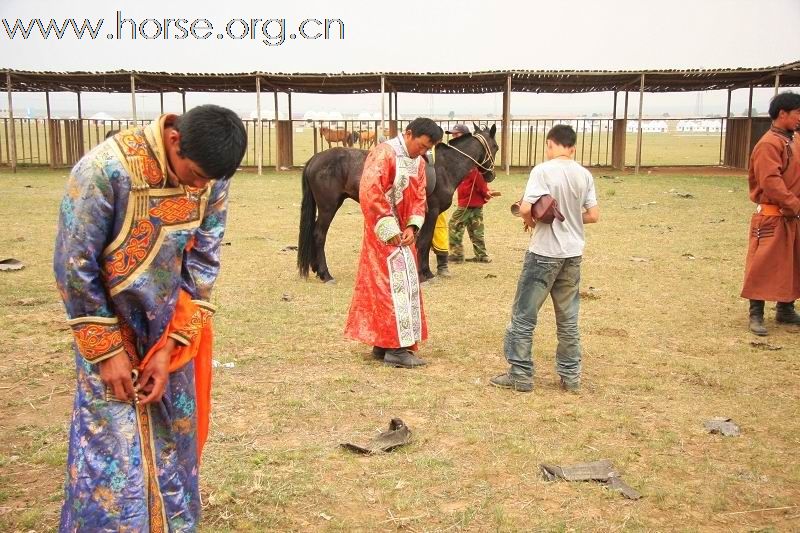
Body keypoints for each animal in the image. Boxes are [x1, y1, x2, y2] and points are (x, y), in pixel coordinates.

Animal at [300, 123, 500, 282]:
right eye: (496, 147)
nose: (491, 175)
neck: (444, 167)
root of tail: (315, 159)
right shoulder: (432, 211)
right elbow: (424, 242)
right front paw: (424, 274)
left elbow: (423, 241)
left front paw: (424, 271)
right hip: (328, 207)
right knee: (319, 235)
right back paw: (325, 274)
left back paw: (317, 269)